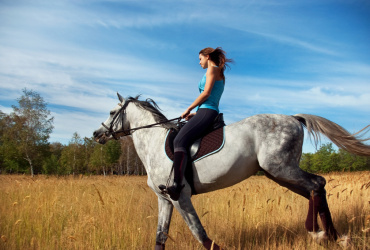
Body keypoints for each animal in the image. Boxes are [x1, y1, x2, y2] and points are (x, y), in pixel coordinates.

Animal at [93, 94, 370, 250]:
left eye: (111, 112)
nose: (97, 134)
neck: (154, 143)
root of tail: (293, 118)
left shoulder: (180, 197)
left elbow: (200, 234)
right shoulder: (165, 199)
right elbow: (160, 237)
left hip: (282, 169)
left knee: (316, 184)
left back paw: (322, 233)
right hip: (279, 173)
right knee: (316, 188)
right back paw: (332, 236)